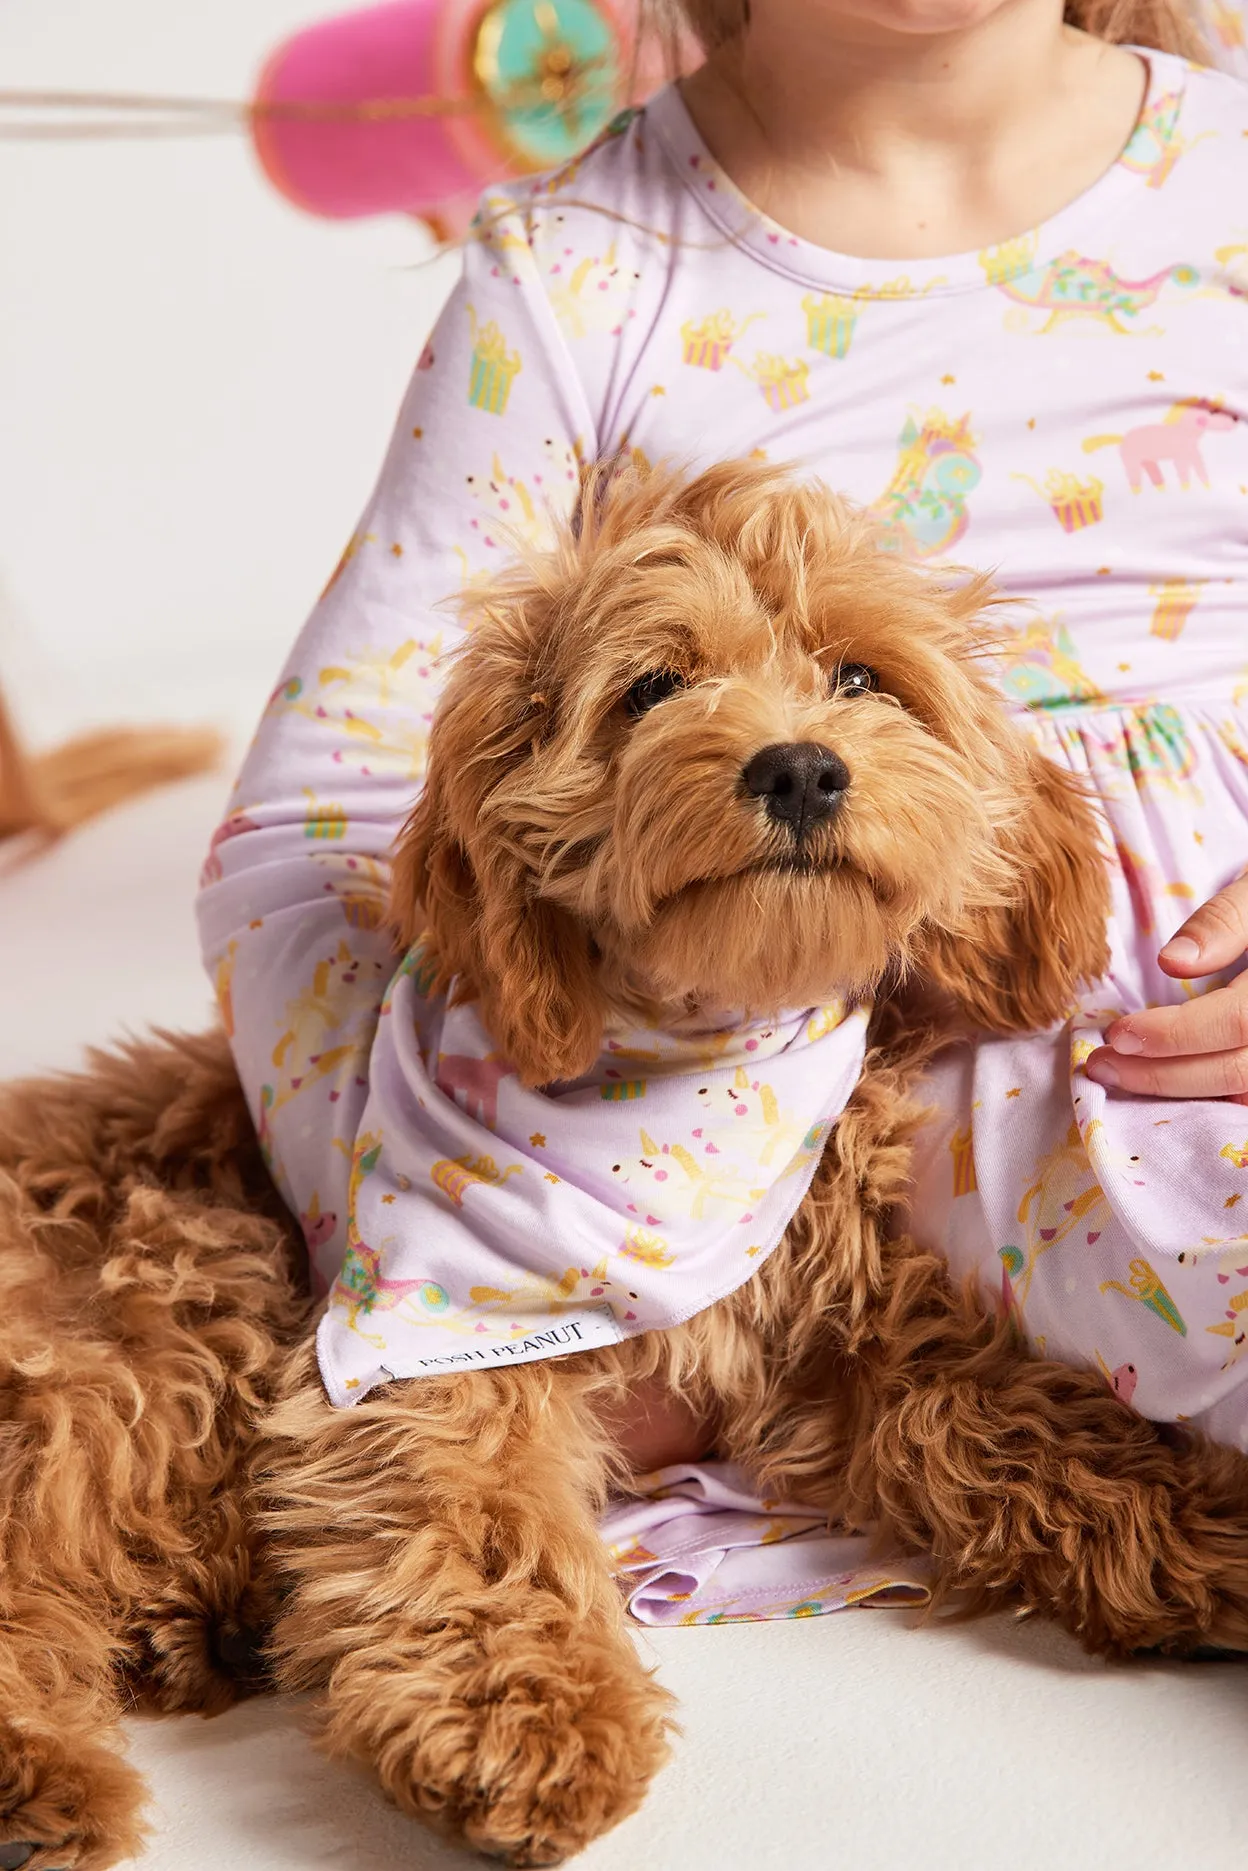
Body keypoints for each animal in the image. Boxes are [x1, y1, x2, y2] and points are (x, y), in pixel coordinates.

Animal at [2, 456, 1248, 1871]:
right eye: (654, 687)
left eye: (862, 676)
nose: (802, 768)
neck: (703, 1059)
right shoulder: (421, 1355)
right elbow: (478, 1517)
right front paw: (531, 1724)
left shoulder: (846, 1334)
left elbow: (1004, 1413)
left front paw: (1202, 1520)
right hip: (158, 1308)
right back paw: (49, 1780)